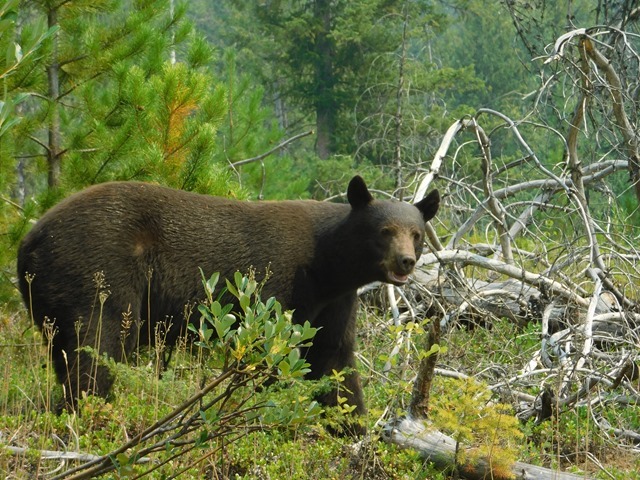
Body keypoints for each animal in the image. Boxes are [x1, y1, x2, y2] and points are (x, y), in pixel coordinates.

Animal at [18, 174, 440, 430]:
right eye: (384, 231)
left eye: (416, 233)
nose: (406, 261)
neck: (326, 265)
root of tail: (30, 241)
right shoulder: (279, 283)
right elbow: (270, 350)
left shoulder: (336, 301)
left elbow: (334, 358)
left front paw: (351, 426)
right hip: (98, 269)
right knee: (101, 340)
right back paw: (94, 410)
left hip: (51, 298)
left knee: (66, 350)